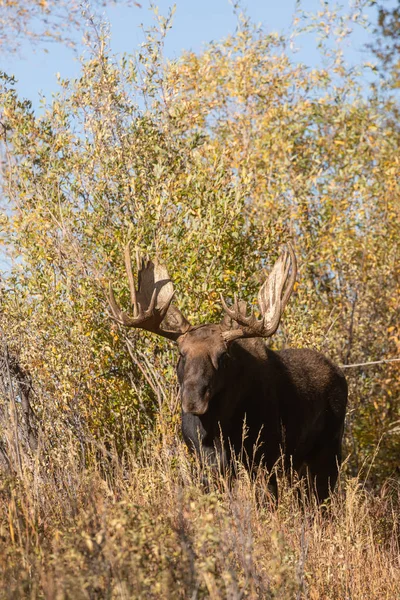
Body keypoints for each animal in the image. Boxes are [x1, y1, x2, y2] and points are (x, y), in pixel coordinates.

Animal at [108, 244, 346, 502]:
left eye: (222, 355)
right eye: (181, 353)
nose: (193, 399)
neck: (216, 429)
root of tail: (341, 375)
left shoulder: (266, 458)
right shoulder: (206, 463)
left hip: (327, 453)